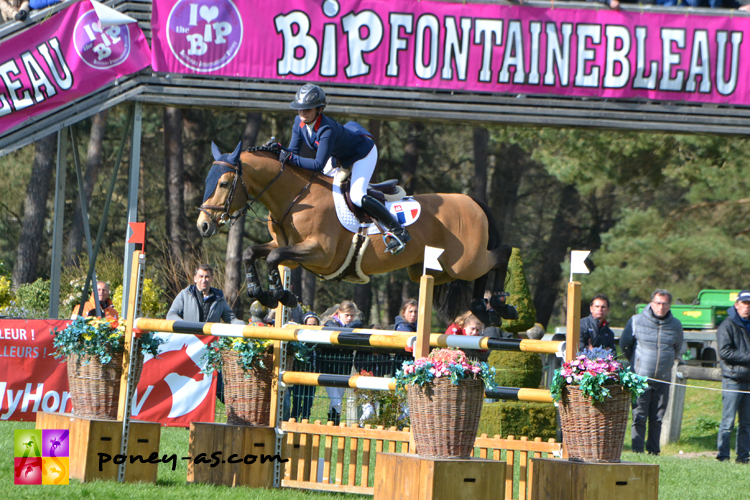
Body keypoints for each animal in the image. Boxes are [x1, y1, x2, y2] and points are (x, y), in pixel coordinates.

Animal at [197, 143, 520, 326]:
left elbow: (274, 257)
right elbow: (253, 253)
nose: (203, 225)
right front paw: (259, 291)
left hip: (465, 261)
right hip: (436, 271)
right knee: (482, 270)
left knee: (502, 254)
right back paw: (483, 309)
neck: (296, 197)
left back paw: (500, 306)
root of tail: (472, 201)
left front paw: (280, 294)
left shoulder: (320, 253)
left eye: (223, 183)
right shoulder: (287, 247)